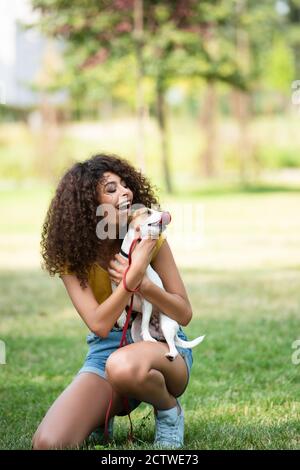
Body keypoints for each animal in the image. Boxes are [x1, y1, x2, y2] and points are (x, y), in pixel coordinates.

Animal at [111, 206, 205, 360]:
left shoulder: (147, 301)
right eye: (148, 212)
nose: (166, 213)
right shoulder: (115, 282)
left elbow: (145, 322)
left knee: (172, 347)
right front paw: (121, 318)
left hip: (167, 325)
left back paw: (168, 353)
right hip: (136, 331)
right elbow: (116, 297)